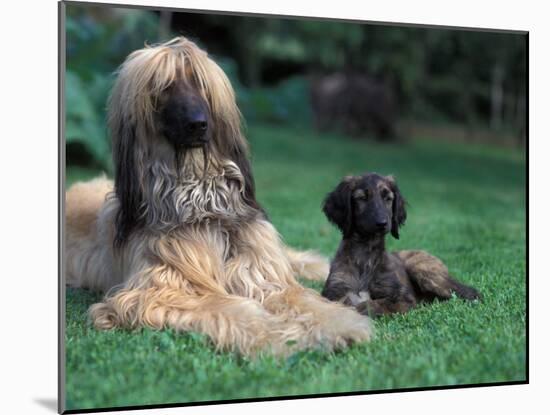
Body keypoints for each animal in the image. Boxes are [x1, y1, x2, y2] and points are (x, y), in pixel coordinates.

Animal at [66, 37, 376, 358]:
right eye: (164, 87)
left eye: (201, 84)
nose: (198, 124)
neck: (198, 197)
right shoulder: (160, 291)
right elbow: (233, 309)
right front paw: (278, 336)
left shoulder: (260, 271)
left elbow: (299, 297)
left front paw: (339, 326)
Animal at [322, 174, 480, 316]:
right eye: (362, 198)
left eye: (388, 198)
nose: (382, 223)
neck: (365, 253)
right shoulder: (335, 291)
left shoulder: (403, 298)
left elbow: (378, 303)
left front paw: (361, 309)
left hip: (422, 270)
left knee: (467, 293)